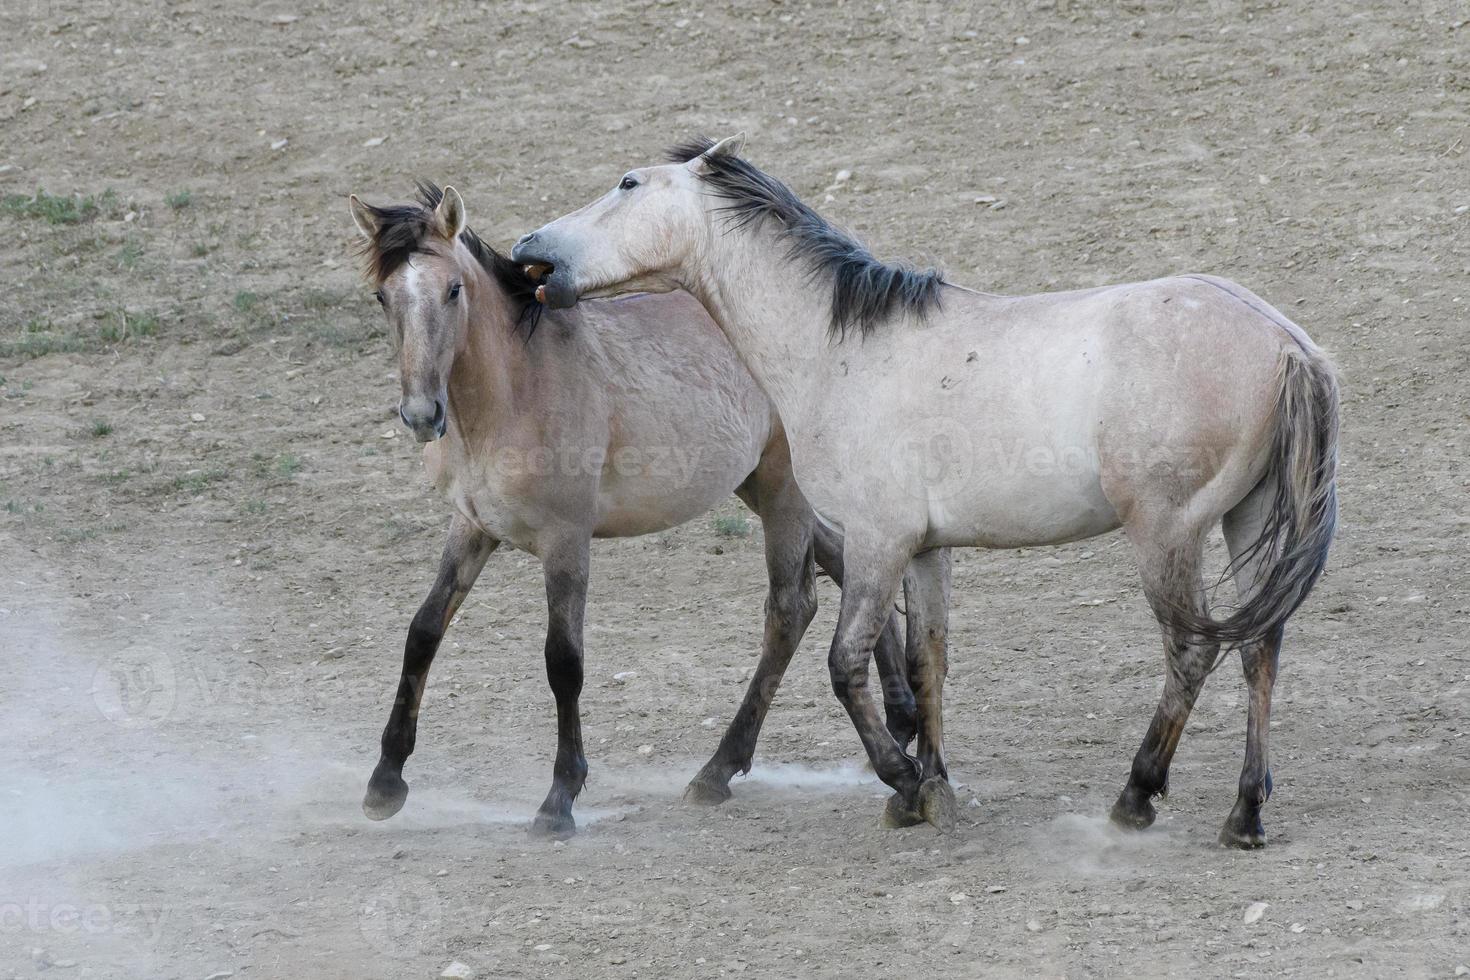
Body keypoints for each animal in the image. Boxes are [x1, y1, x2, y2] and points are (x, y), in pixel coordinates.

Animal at [348, 182, 946, 834]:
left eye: (453, 289)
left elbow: (564, 661)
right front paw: (385, 782)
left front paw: (560, 798)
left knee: (792, 608)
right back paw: (899, 721)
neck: (515, 392)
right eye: (382, 295)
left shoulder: (566, 538)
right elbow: (423, 631)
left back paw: (720, 770)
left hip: (781, 489)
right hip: (755, 486)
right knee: (843, 566)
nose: (421, 414)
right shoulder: (473, 526)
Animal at [514, 134, 1346, 846]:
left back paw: (1136, 798)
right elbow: (927, 662)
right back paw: (1244, 814)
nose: (527, 252)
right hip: (1246, 520)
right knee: (1260, 647)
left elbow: (846, 664)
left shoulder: (876, 541)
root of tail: (1287, 344)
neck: (838, 349)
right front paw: (934, 789)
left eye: (628, 184)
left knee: (1192, 650)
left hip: (1167, 533)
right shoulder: (923, 550)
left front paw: (903, 781)